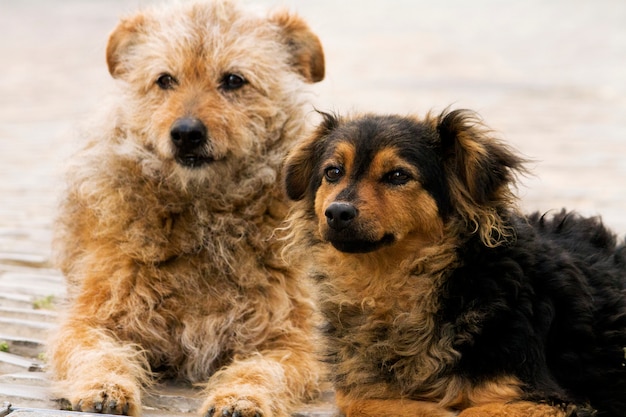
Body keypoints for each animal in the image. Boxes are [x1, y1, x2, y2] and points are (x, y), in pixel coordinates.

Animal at [282, 109, 624, 414]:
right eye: (333, 172)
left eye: (398, 175)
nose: (337, 212)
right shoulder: (360, 386)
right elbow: (358, 401)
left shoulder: (552, 397)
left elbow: (478, 410)